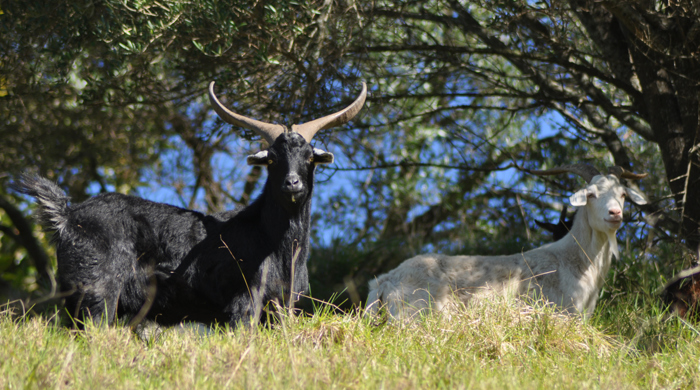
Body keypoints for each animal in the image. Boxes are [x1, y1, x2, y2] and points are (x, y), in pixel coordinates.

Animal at [15, 82, 366, 330]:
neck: (273, 241)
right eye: (272, 159)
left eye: (308, 157)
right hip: (97, 292)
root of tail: (67, 216)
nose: (292, 184)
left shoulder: (282, 307)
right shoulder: (244, 300)